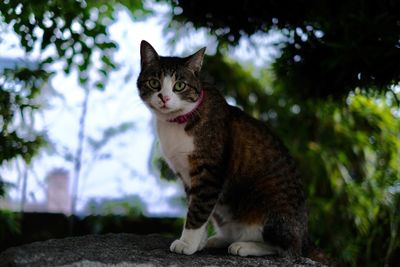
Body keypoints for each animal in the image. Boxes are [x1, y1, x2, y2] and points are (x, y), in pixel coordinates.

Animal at [138, 40, 322, 262]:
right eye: (154, 83)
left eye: (179, 85)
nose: (164, 97)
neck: (177, 123)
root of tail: (305, 234)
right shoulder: (187, 176)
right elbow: (196, 207)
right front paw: (198, 243)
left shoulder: (209, 171)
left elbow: (198, 210)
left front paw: (187, 244)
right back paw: (219, 239)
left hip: (271, 209)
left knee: (288, 250)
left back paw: (245, 246)